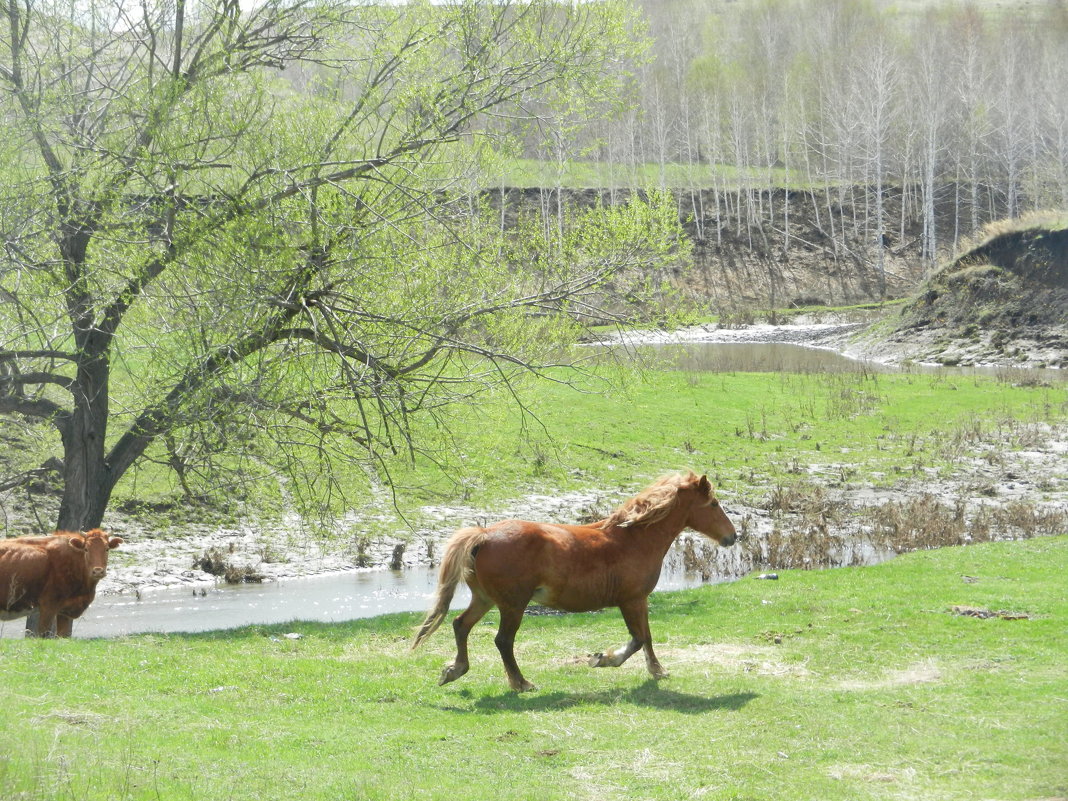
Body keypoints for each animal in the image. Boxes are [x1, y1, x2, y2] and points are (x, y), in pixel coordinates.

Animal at [412, 474, 739, 692]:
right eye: (713, 503)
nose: (732, 536)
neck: (633, 538)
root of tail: (483, 535)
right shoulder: (631, 600)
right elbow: (636, 640)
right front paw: (602, 659)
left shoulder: (641, 600)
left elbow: (646, 637)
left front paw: (657, 671)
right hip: (512, 605)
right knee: (502, 641)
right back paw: (521, 683)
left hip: (485, 599)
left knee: (460, 625)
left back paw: (454, 670)